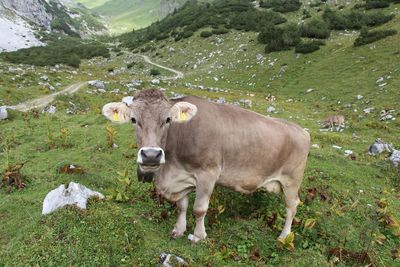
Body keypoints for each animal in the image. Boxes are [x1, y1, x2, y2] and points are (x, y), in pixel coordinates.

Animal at [101, 89, 310, 243]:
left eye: (168, 119)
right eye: (133, 120)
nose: (151, 155)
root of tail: (301, 130)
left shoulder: (208, 173)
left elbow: (199, 209)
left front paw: (198, 236)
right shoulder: (181, 177)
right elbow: (182, 205)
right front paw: (178, 229)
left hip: (292, 181)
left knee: (292, 206)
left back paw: (284, 236)